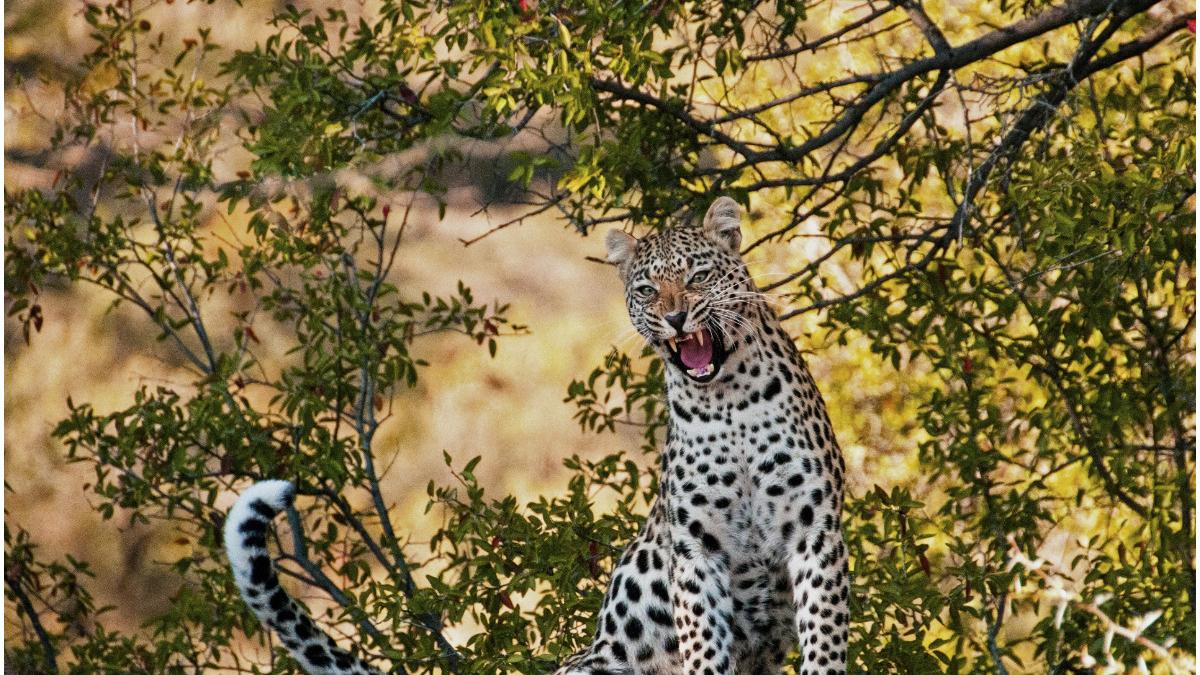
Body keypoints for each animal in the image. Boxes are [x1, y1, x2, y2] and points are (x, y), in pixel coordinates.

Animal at [223, 196, 850, 675]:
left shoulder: (814, 532)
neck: (729, 401)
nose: (675, 317)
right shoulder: (697, 550)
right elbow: (702, 647)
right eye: (647, 290)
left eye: (699, 276)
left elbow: (824, 639)